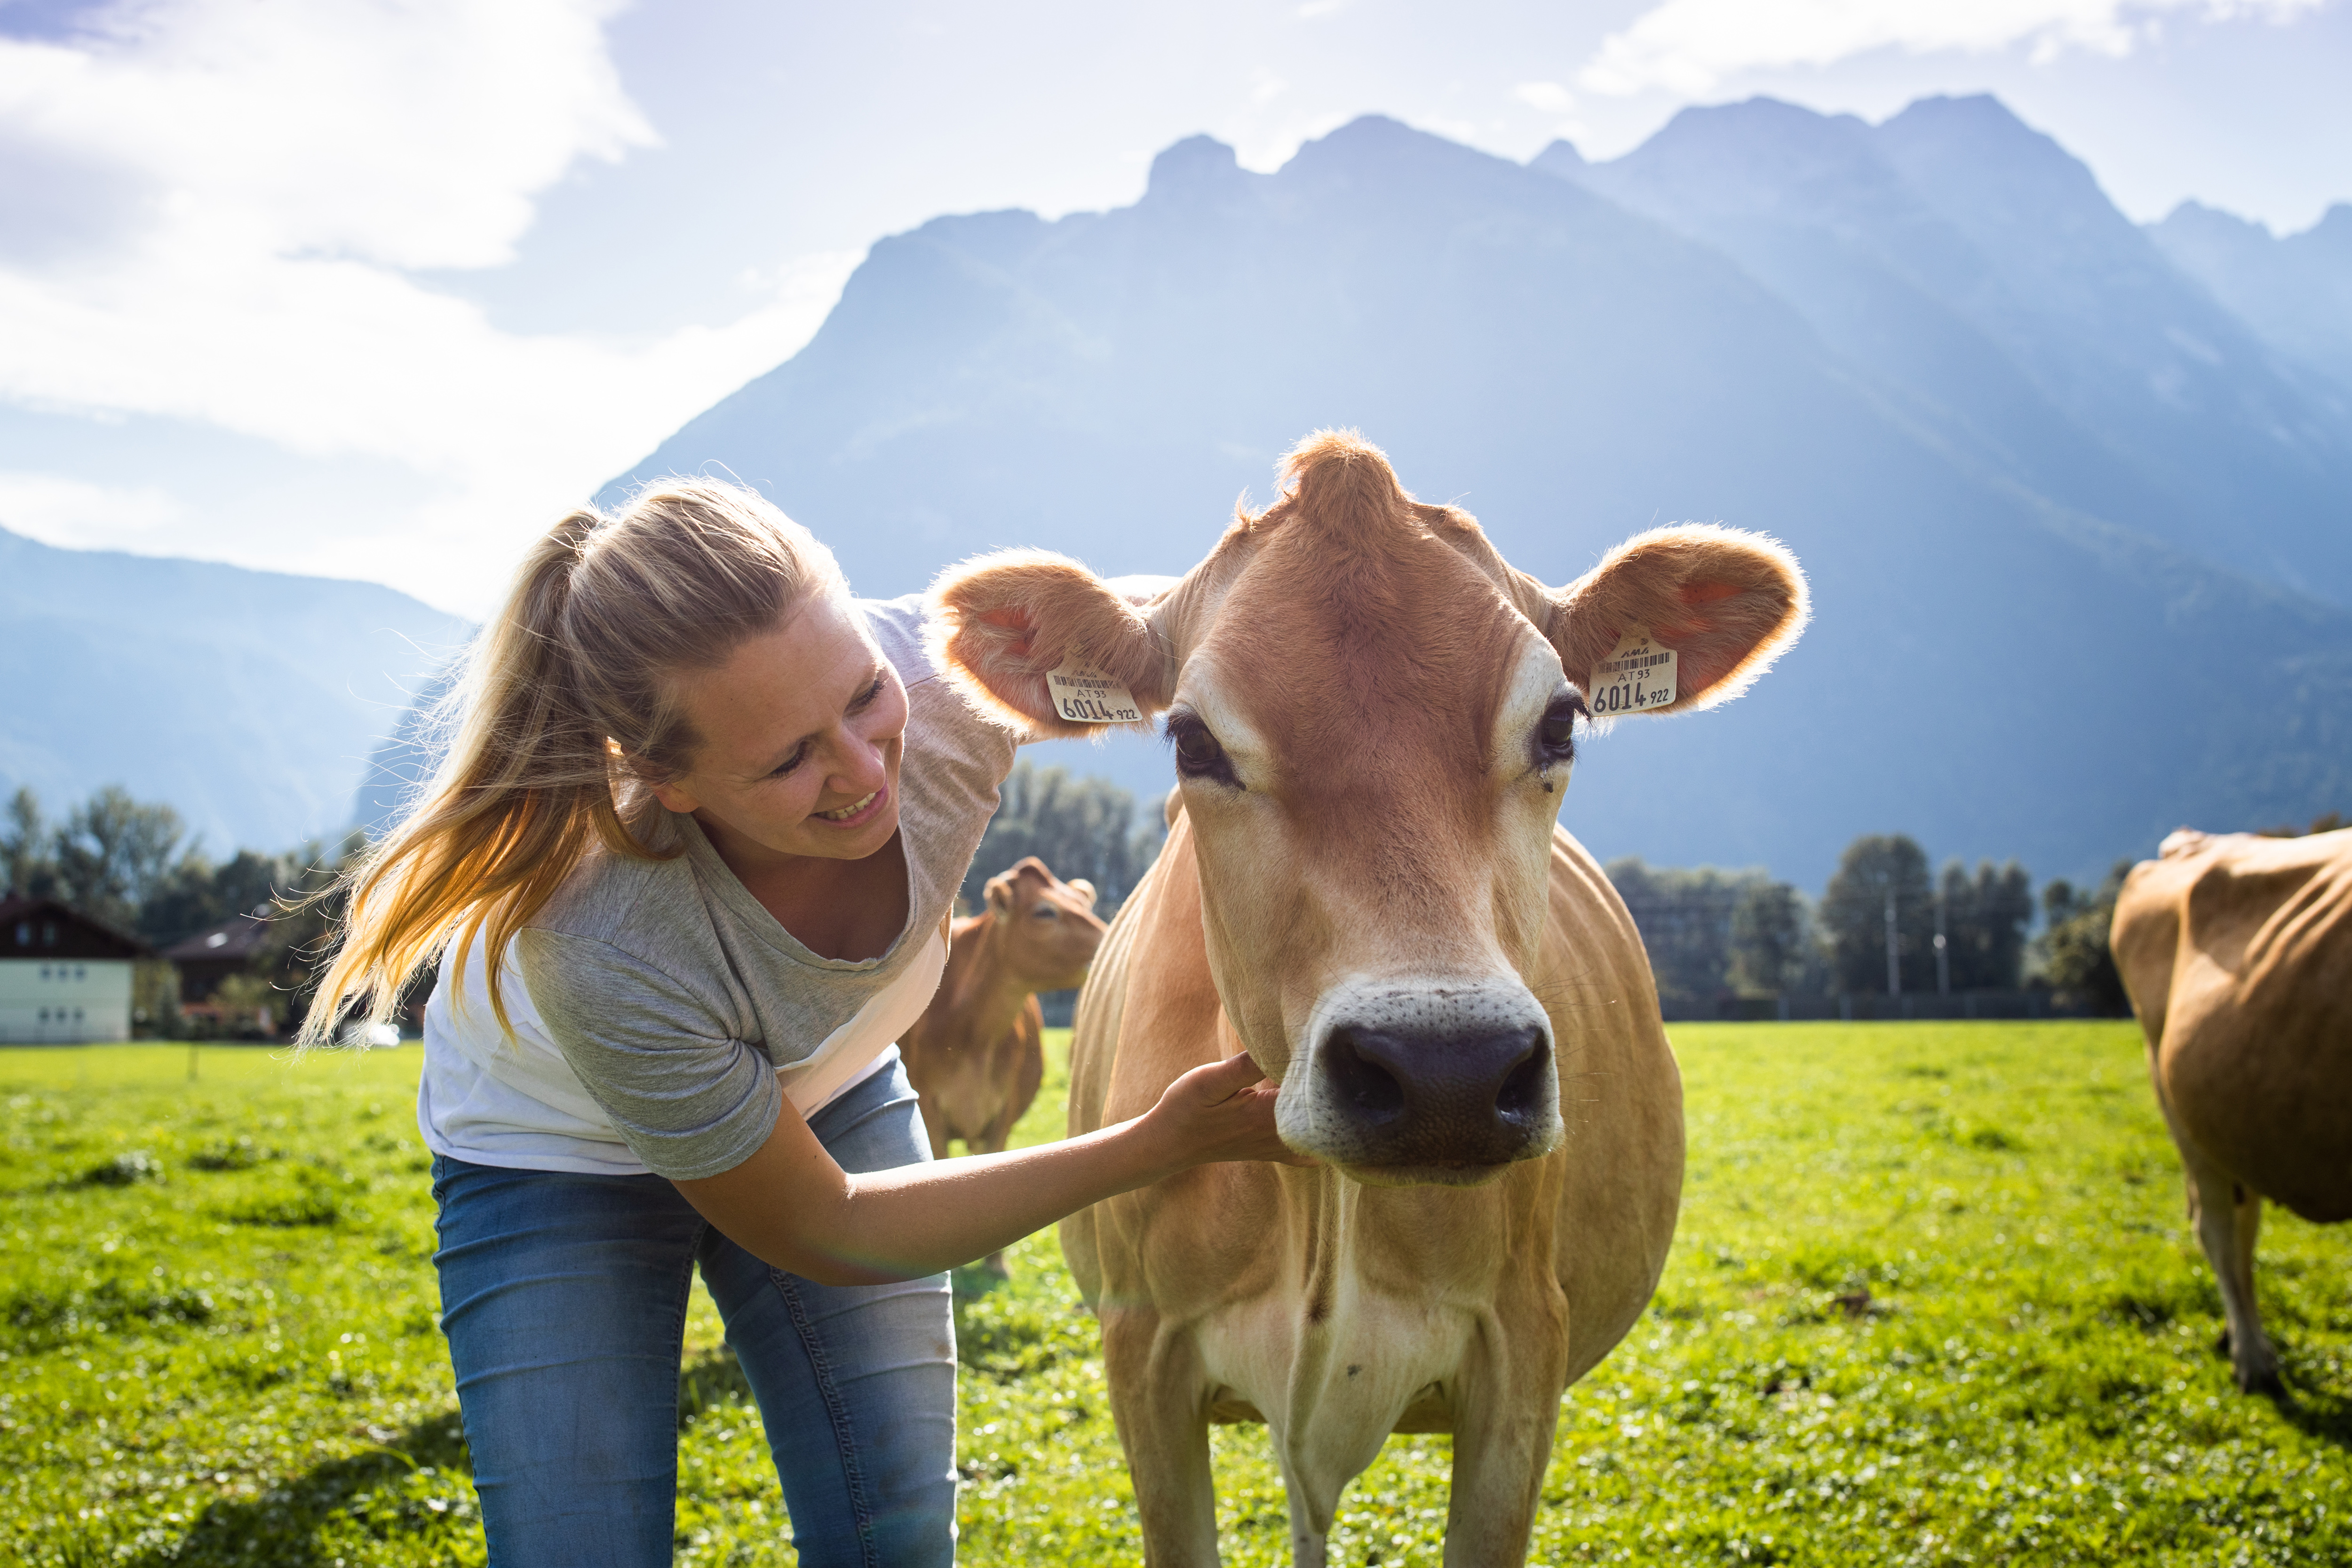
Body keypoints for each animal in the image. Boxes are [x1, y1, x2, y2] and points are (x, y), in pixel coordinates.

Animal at [927, 430, 1807, 1565]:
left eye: (1561, 724)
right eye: (1192, 739)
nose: (1447, 1073)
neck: (1320, 1205)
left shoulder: (1522, 1349)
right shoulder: (1142, 1352)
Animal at [2110, 824, 2352, 1394]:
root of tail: (2192, 839)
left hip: (2236, 1115)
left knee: (2245, 1219)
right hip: (2173, 1092)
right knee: (2217, 1225)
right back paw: (2252, 1358)